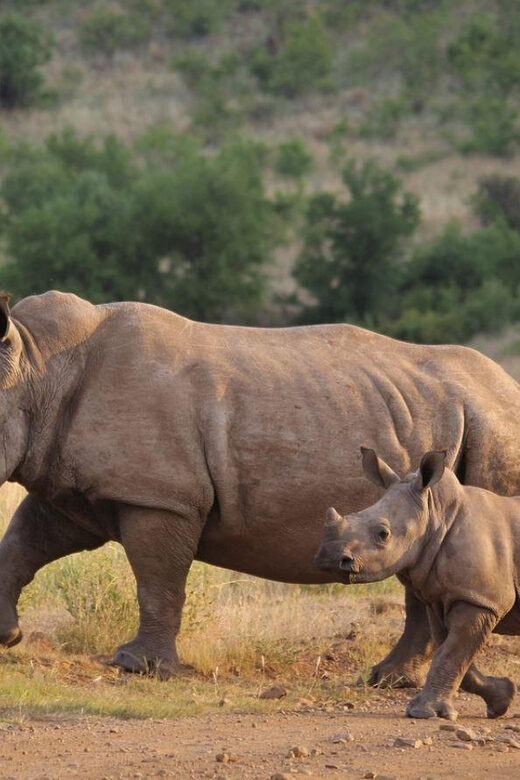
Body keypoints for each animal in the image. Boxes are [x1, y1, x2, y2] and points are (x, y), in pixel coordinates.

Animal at [2, 290, 520, 682]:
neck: (39, 365)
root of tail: (508, 385)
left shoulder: (160, 498)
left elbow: (156, 577)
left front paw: (138, 666)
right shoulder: (67, 483)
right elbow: (22, 544)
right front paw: (7, 636)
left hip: (494, 428)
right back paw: (384, 679)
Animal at [316, 447, 520, 720]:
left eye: (383, 534)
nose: (328, 557)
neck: (436, 515)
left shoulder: (480, 598)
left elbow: (451, 653)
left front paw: (421, 712)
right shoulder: (441, 597)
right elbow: (454, 654)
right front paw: (502, 698)